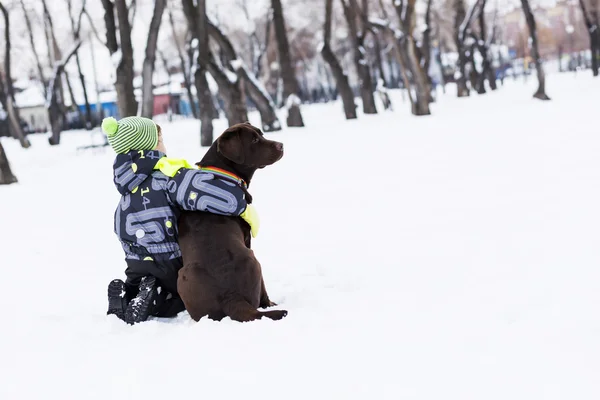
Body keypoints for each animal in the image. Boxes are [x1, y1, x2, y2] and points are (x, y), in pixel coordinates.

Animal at [176, 122, 288, 322]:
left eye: (261, 134)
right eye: (254, 140)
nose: (281, 145)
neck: (222, 175)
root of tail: (230, 296)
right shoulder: (248, 238)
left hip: (183, 277)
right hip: (254, 260)